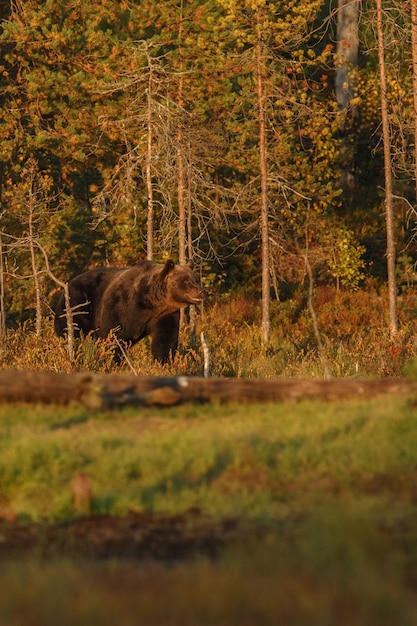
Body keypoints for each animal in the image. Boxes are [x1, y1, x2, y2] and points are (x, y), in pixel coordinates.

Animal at [54, 258, 204, 364]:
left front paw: (163, 362)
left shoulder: (164, 314)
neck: (151, 302)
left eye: (196, 279)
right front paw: (116, 361)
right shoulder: (121, 306)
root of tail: (68, 284)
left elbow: (165, 340)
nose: (201, 292)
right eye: (185, 280)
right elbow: (116, 337)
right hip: (78, 305)